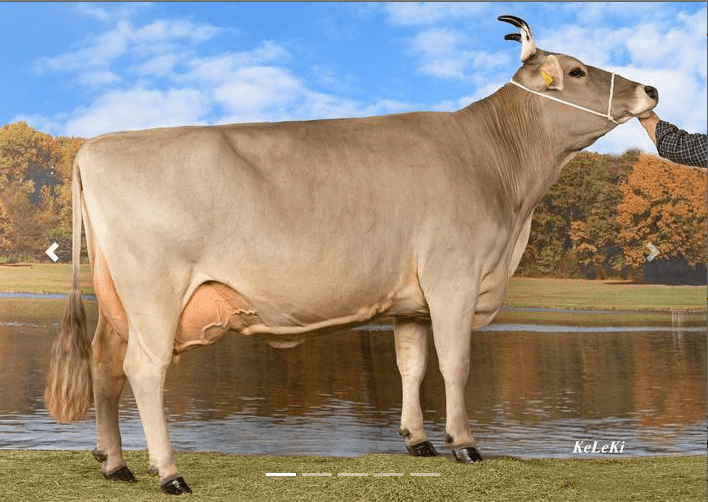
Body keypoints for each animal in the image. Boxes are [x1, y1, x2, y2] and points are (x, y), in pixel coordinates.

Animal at [44, 16, 658, 494]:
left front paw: (418, 440)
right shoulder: (454, 278)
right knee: (144, 369)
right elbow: (455, 363)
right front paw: (464, 444)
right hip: (154, 292)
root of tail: (96, 145)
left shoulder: (412, 300)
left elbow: (411, 365)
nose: (650, 90)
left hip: (116, 298)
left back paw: (115, 464)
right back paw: (169, 472)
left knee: (103, 364)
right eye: (576, 71)